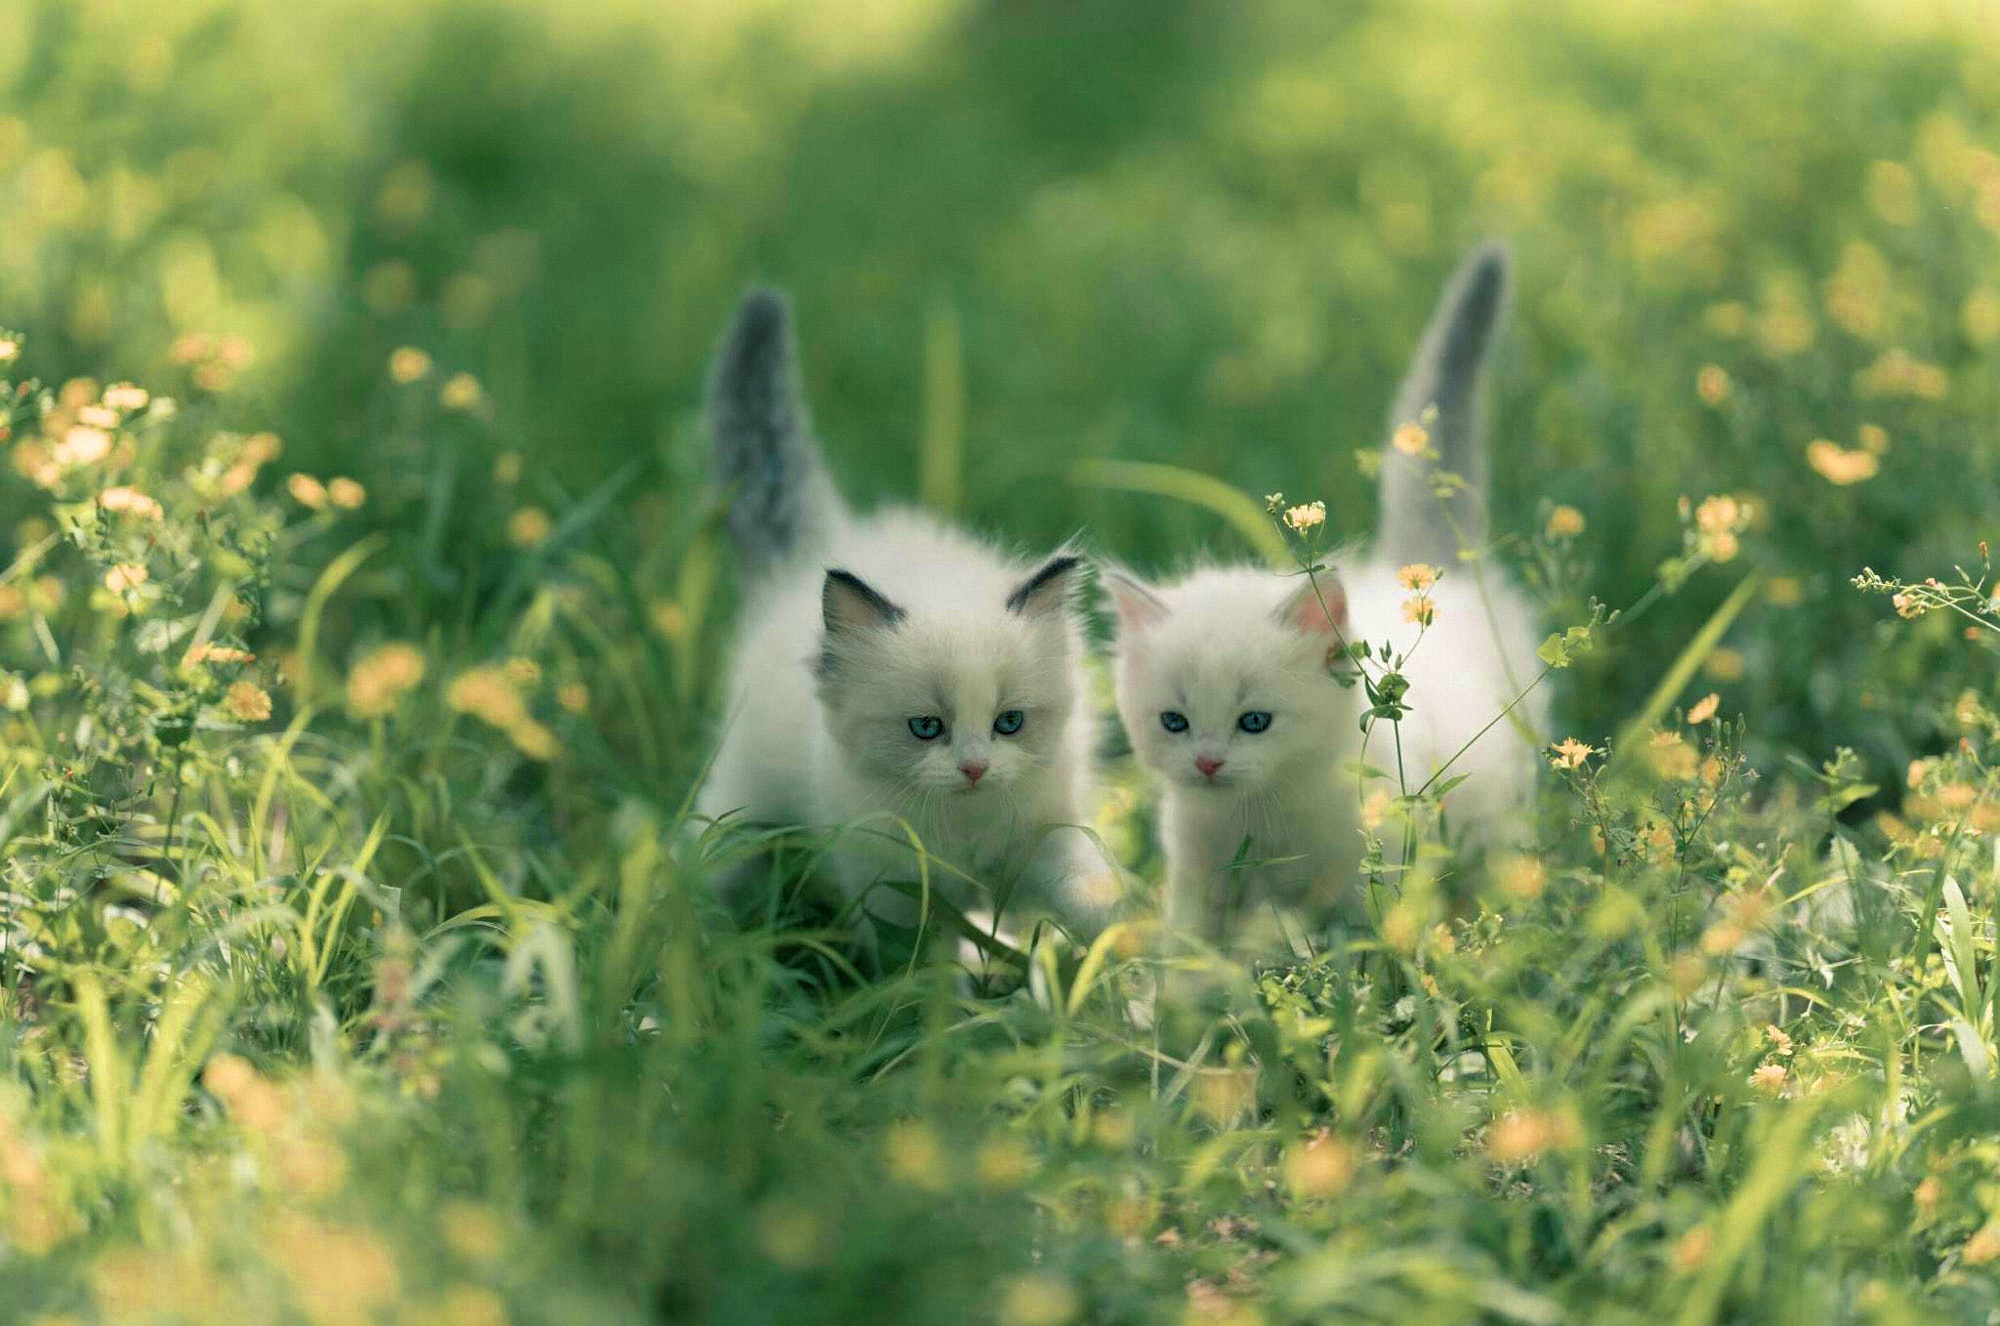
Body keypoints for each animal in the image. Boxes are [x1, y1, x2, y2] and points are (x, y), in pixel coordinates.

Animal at [700, 290, 1112, 932]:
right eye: (926, 728)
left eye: (1010, 723)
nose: (975, 769)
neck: (965, 828)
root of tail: (818, 549)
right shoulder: (885, 880)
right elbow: (914, 953)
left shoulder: (1045, 836)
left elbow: (1086, 890)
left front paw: (1140, 945)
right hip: (740, 801)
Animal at [1112, 246, 1544, 956]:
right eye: (1173, 722)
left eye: (1255, 721)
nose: (1207, 761)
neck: (1261, 820)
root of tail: (1422, 573)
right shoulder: (1199, 883)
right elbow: (1194, 956)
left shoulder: (1366, 874)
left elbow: (1365, 952)